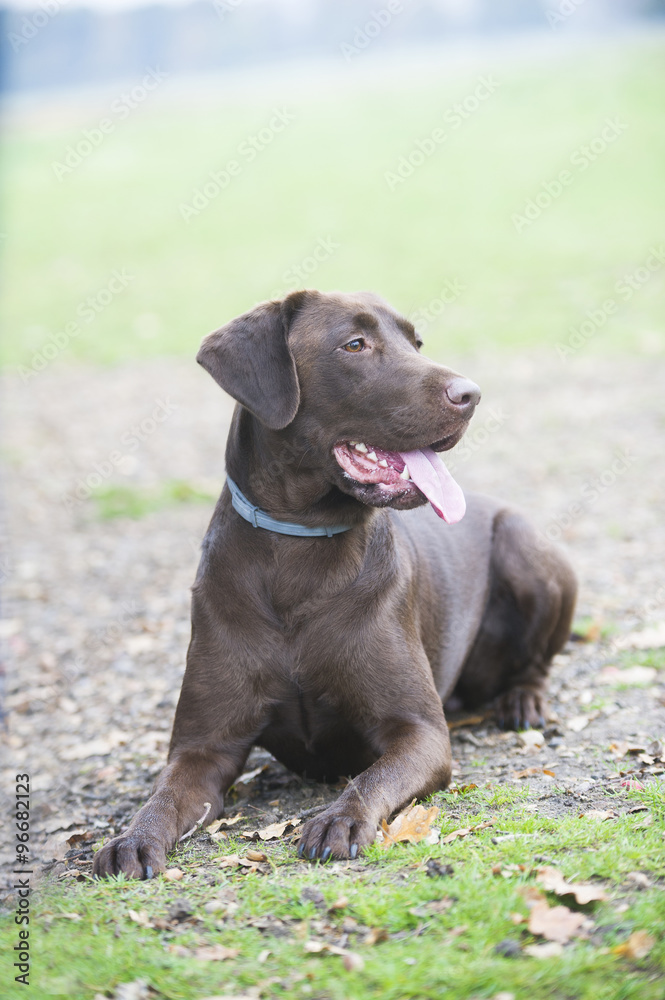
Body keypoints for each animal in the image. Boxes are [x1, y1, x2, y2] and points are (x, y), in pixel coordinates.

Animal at [93, 288, 576, 876]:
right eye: (354, 344)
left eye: (416, 343)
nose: (472, 393)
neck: (299, 545)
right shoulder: (203, 747)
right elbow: (162, 795)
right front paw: (132, 837)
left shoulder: (420, 731)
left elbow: (371, 777)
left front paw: (339, 820)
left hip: (525, 547)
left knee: (537, 662)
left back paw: (522, 702)